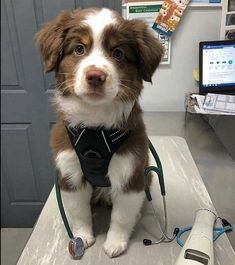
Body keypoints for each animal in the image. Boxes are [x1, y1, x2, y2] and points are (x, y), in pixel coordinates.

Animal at [36, 7, 163, 256]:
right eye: (79, 49)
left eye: (118, 53)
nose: (95, 76)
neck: (95, 126)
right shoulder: (70, 172)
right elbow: (78, 211)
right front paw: (82, 237)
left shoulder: (131, 171)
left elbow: (122, 216)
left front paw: (115, 243)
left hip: (147, 175)